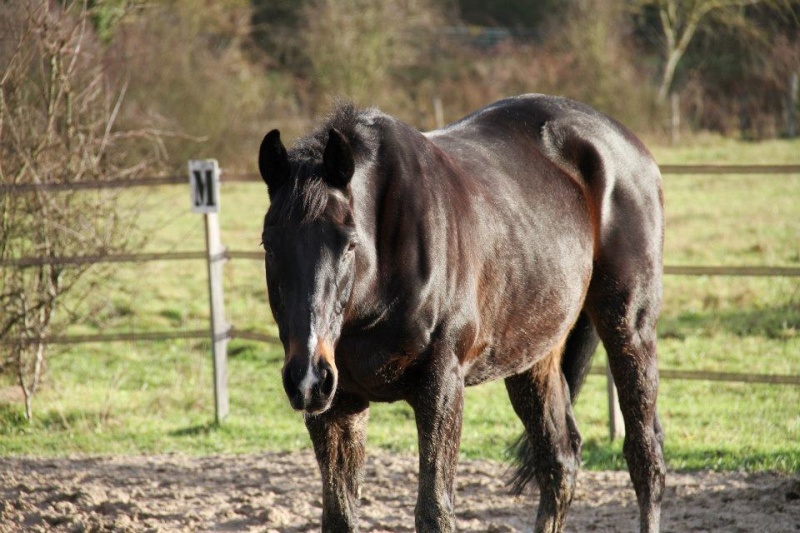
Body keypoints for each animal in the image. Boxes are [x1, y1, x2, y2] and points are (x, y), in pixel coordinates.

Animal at [260, 93, 664, 528]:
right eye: (269, 244)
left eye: (350, 243)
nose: (308, 377)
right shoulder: (337, 404)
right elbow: (339, 516)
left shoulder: (441, 387)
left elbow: (434, 511)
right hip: (533, 357)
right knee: (559, 461)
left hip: (629, 328)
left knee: (645, 458)